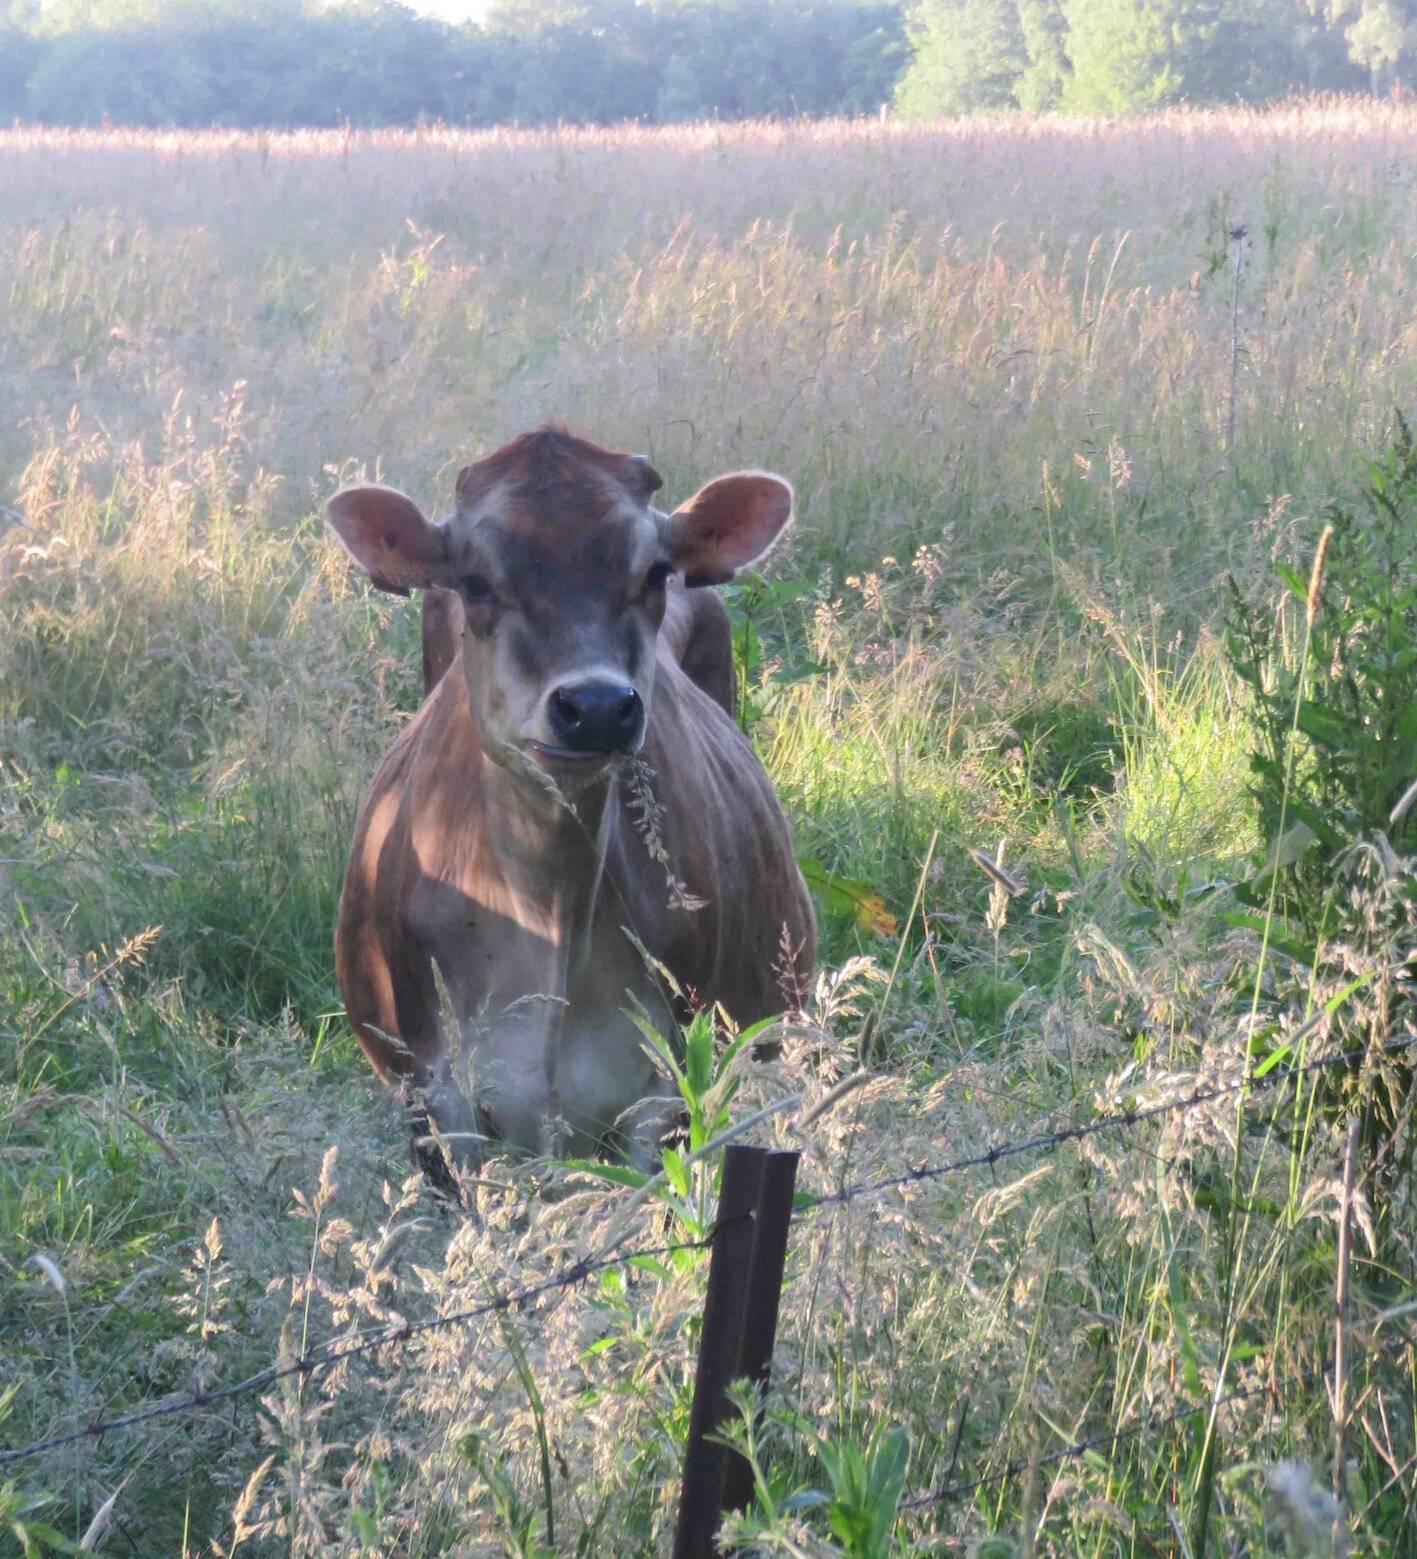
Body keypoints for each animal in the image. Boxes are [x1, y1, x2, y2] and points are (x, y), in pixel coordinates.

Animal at [326, 427, 815, 1176]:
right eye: (476, 581)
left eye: (653, 572)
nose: (597, 706)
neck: (545, 904)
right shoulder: (432, 1092)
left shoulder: (669, 1093)